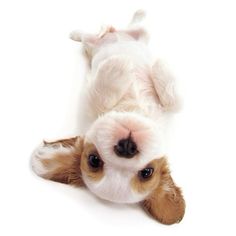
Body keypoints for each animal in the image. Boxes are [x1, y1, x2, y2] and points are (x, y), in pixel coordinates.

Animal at [31, 10, 185, 225]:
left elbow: (175, 102)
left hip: (137, 36)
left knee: (134, 27)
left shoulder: (169, 112)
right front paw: (118, 66)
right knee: (91, 35)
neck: (131, 110)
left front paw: (156, 66)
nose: (127, 147)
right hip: (93, 44)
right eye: (94, 160)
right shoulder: (88, 100)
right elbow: (102, 93)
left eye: (147, 172)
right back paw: (83, 32)